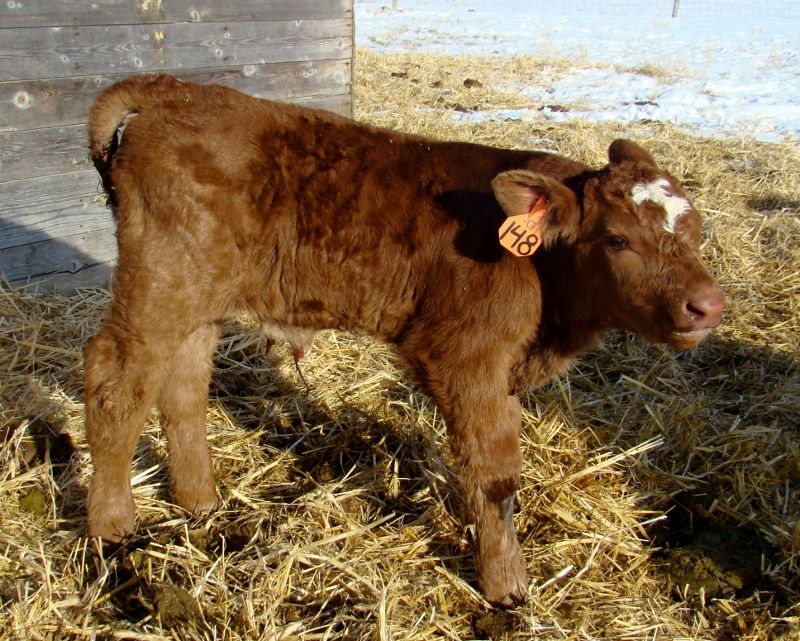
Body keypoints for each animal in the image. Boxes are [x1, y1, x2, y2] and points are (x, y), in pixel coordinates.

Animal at [84, 75, 725, 607]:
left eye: (695, 228)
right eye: (617, 240)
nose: (707, 305)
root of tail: (169, 91)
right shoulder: (465, 358)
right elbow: (494, 476)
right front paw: (506, 588)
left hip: (198, 301)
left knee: (183, 388)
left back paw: (201, 502)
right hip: (158, 285)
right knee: (114, 383)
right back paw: (113, 529)